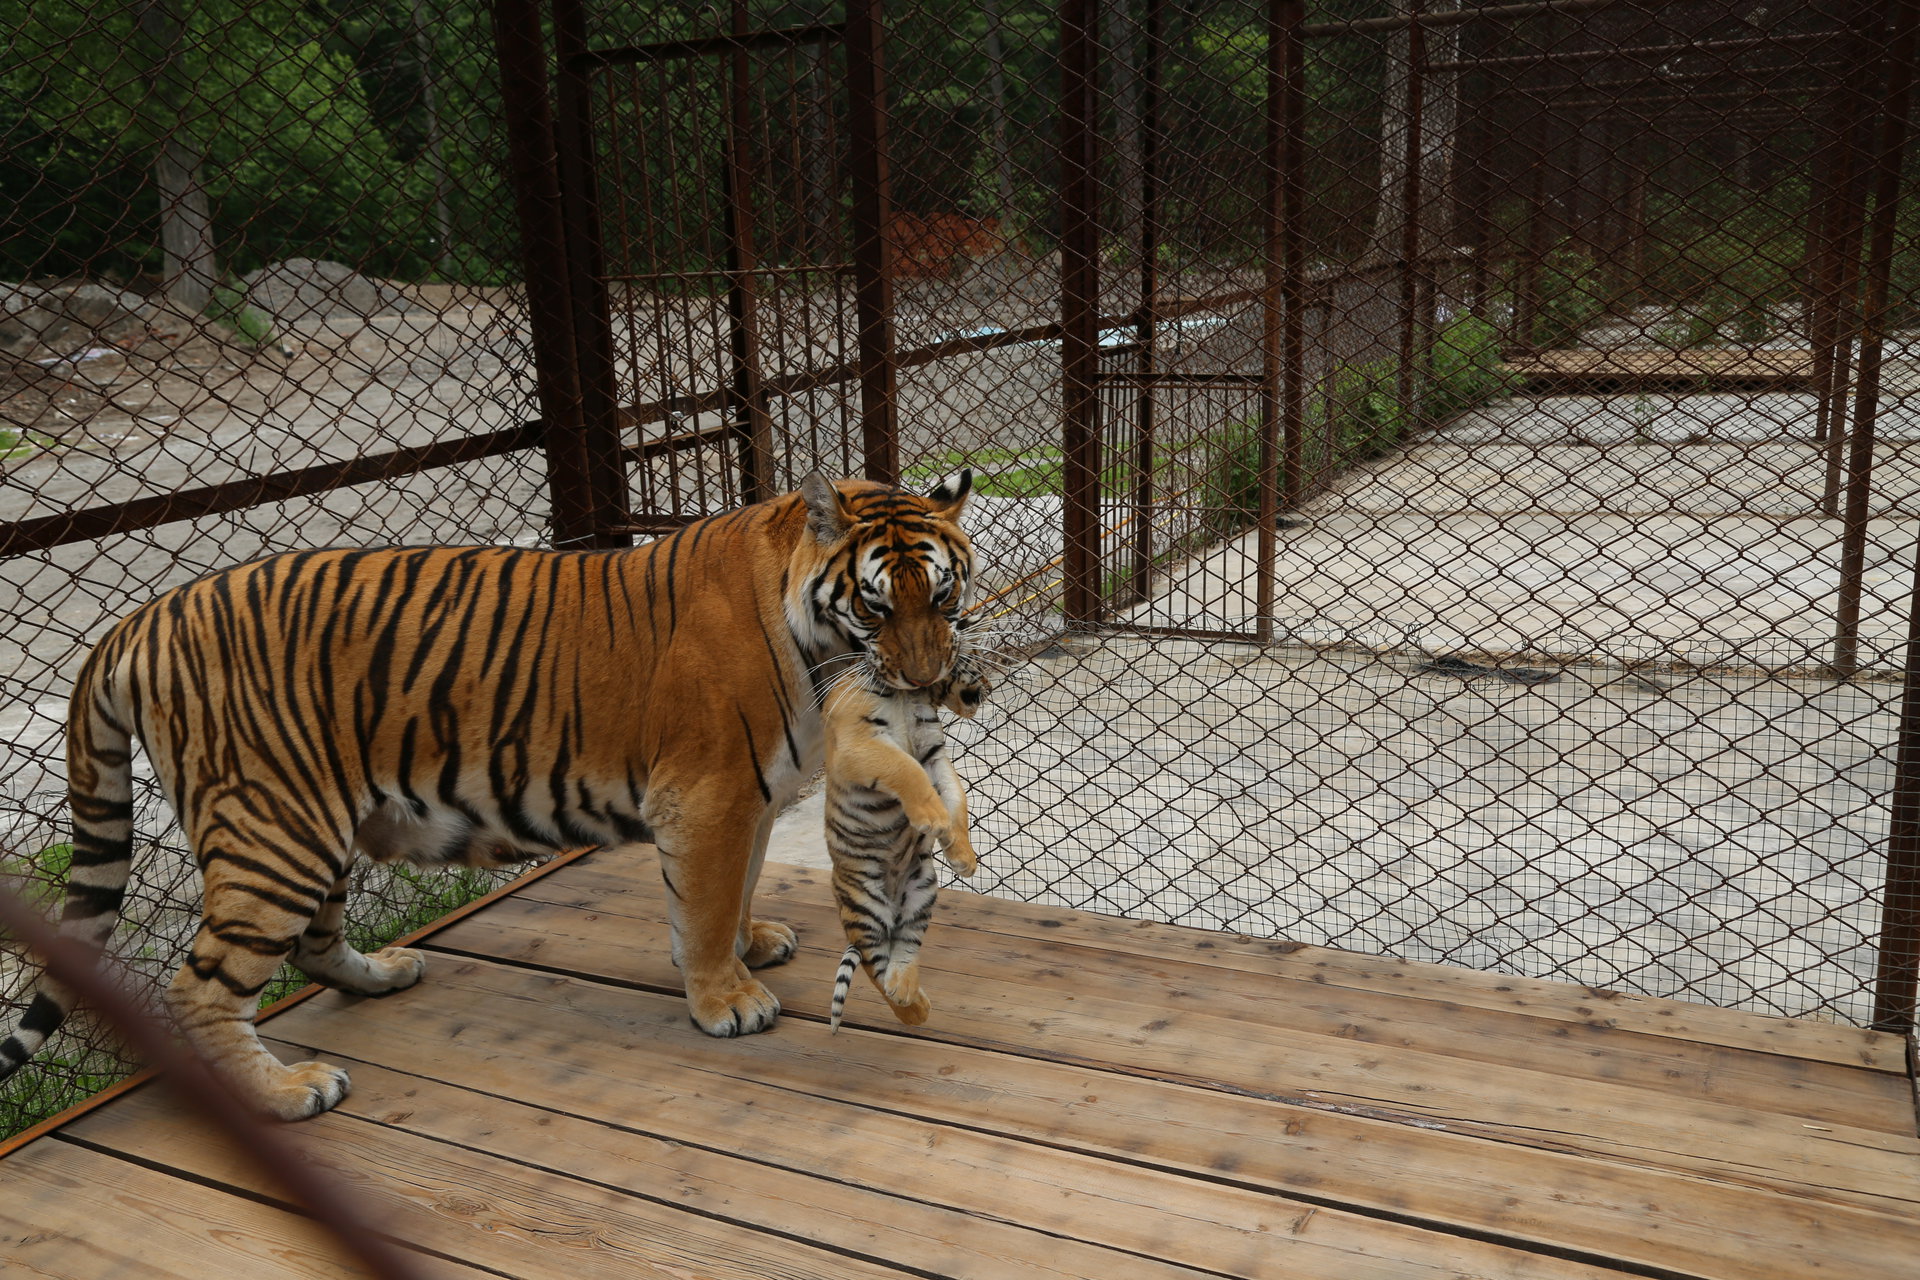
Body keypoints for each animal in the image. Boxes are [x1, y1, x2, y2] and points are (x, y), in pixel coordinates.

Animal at [822, 649, 987, 1033]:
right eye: (977, 661)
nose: (989, 687)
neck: (908, 694)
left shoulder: (934, 753)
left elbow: (956, 797)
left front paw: (963, 856)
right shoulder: (858, 742)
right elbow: (904, 768)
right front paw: (933, 818)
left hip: (921, 889)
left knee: (905, 947)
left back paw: (912, 997)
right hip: (864, 908)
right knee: (874, 967)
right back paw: (909, 1008)